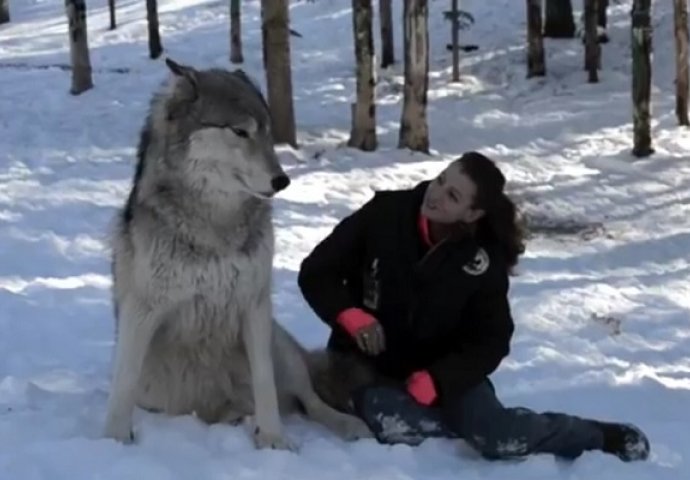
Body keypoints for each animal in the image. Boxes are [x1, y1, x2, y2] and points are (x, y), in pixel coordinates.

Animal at [103, 57, 370, 450]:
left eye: (267, 133)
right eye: (240, 132)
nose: (282, 181)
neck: (215, 226)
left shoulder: (254, 305)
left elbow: (265, 384)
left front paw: (273, 441)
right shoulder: (142, 311)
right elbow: (122, 385)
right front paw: (115, 440)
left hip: (280, 344)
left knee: (309, 400)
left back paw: (346, 425)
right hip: (157, 392)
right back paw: (238, 419)